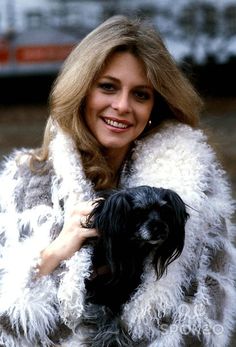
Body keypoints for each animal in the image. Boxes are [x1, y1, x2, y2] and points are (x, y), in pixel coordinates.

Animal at [78, 186, 190, 346]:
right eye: (138, 213)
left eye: (164, 211)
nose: (159, 228)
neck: (132, 250)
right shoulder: (96, 291)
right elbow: (108, 319)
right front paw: (112, 339)